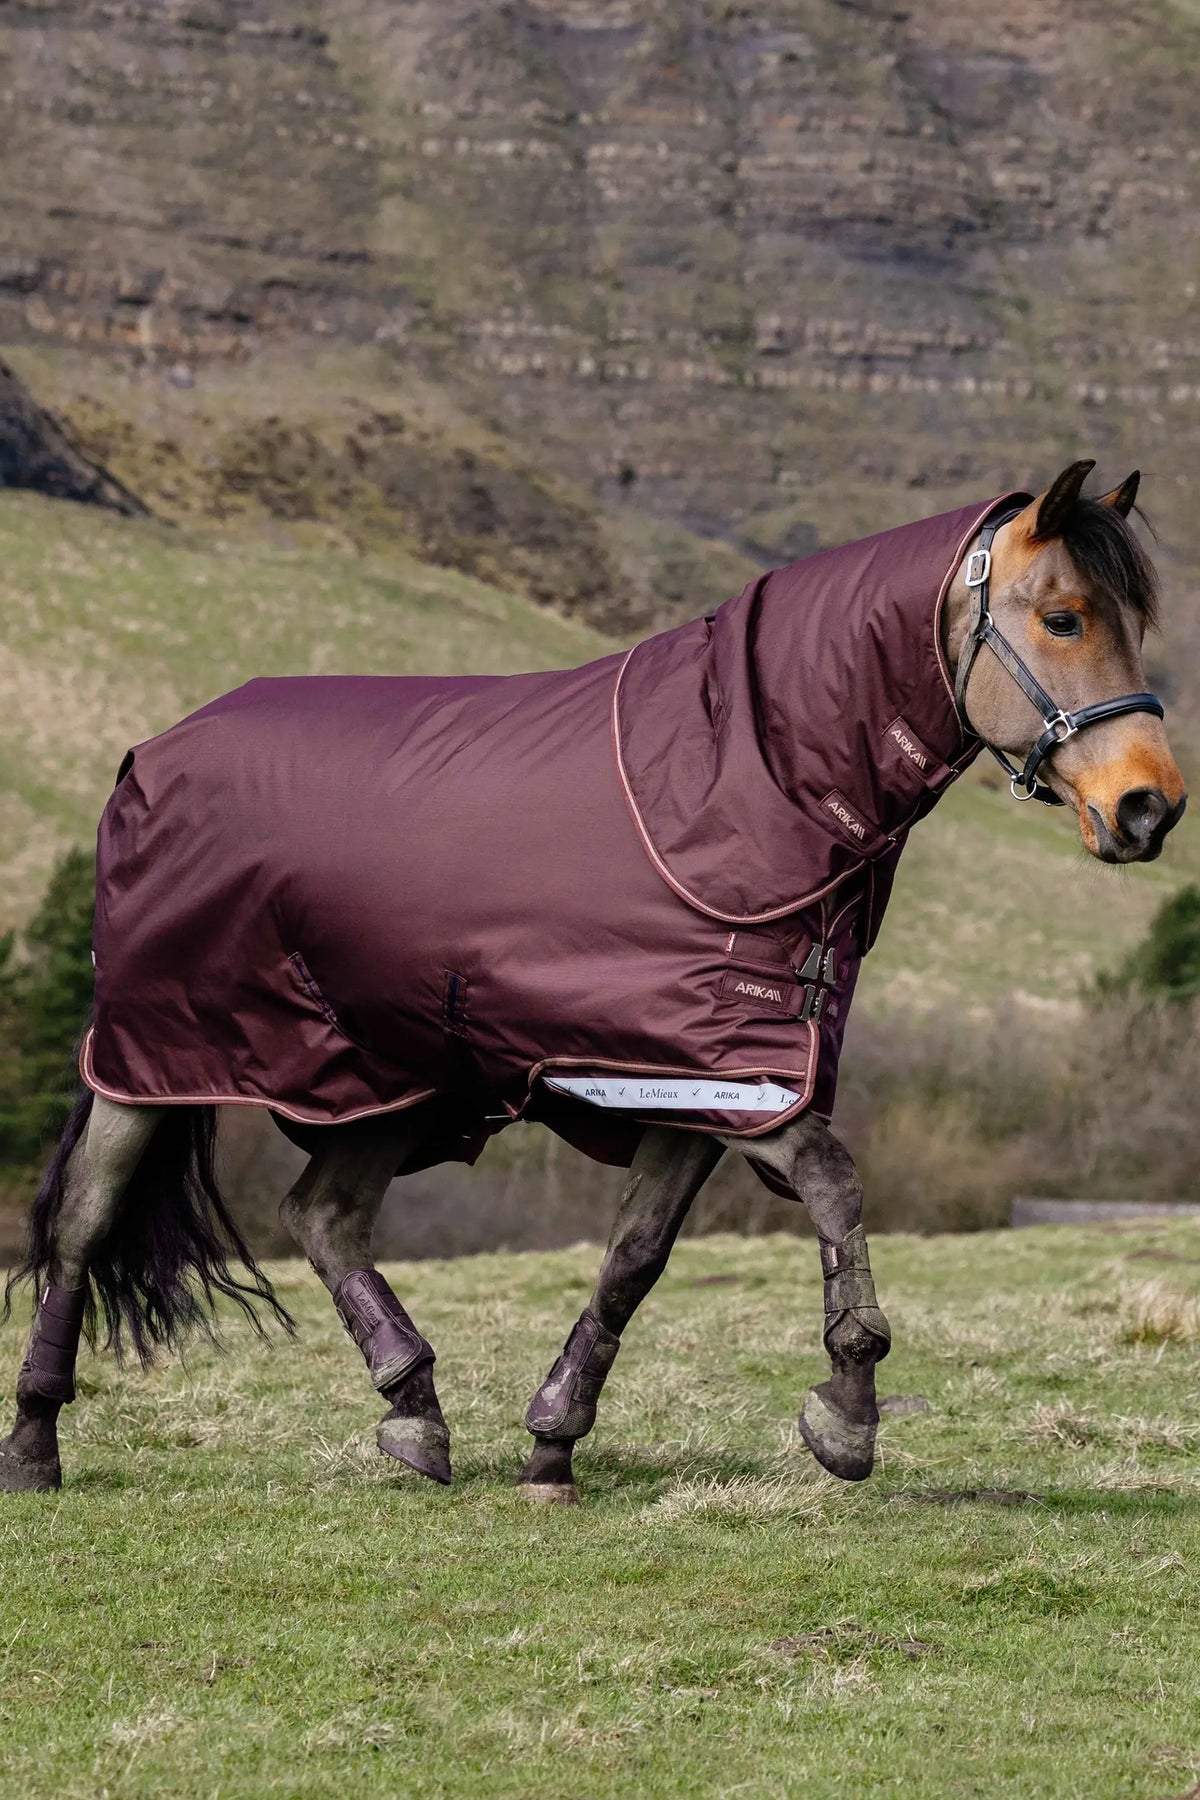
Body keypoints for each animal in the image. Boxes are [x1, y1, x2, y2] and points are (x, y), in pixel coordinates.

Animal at [0, 459, 1185, 1500]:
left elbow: (634, 1260)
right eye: (1065, 618)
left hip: (388, 1078)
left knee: (321, 1217)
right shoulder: (736, 1081)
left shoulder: (696, 1085)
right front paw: (847, 1417)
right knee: (84, 1221)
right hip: (152, 1058)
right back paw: (35, 1443)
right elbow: (838, 1190)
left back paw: (415, 1413)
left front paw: (552, 1446)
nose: (1150, 807)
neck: (739, 788)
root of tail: (153, 753)